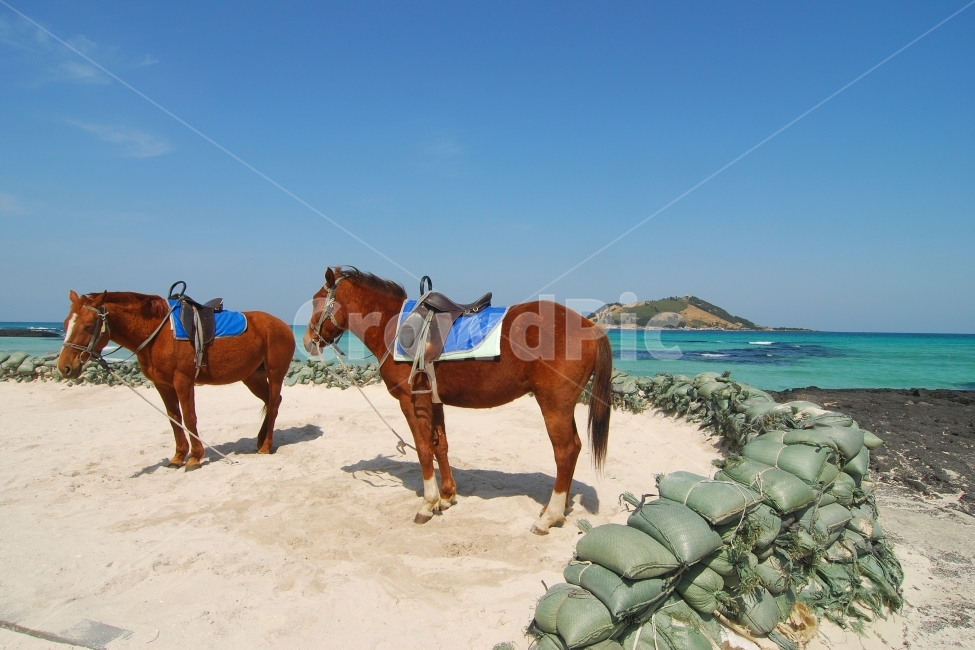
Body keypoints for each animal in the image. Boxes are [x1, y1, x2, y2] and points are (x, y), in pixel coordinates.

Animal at [57, 290, 296, 470]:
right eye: (66, 324)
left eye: (88, 325)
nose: (64, 367)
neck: (158, 333)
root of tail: (284, 326)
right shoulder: (162, 385)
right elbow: (174, 419)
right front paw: (178, 457)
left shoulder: (183, 381)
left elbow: (189, 418)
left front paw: (195, 457)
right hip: (252, 377)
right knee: (271, 402)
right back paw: (260, 439)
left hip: (275, 374)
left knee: (274, 404)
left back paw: (265, 445)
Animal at [304, 267, 613, 534]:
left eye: (316, 301)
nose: (308, 341)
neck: (393, 325)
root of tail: (590, 326)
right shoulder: (434, 401)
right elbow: (440, 445)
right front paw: (446, 496)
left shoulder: (411, 402)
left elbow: (423, 448)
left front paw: (428, 503)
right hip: (563, 407)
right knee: (573, 448)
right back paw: (559, 508)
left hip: (553, 405)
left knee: (565, 451)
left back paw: (550, 516)